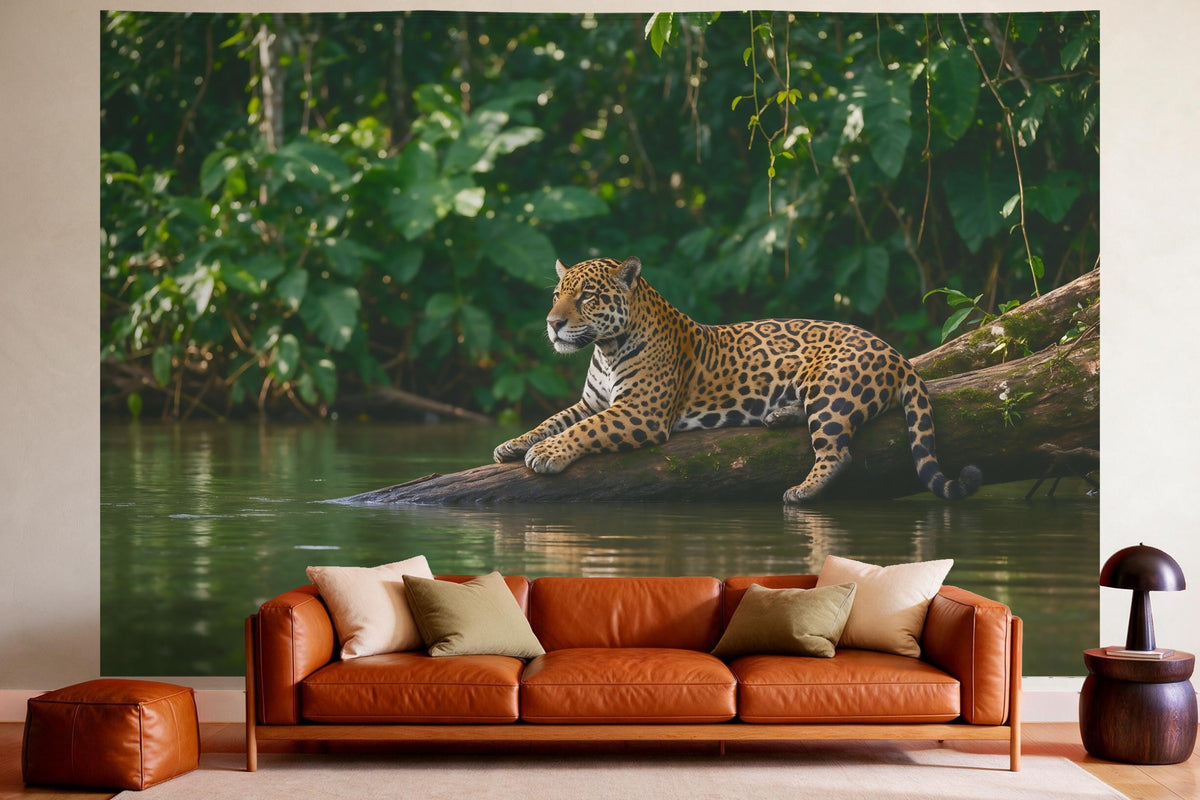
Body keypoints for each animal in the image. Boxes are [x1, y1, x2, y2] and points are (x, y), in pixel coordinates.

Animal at [493, 256, 981, 503]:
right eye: (557, 295)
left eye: (588, 297)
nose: (553, 324)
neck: (606, 348)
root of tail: (896, 353)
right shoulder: (593, 401)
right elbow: (553, 420)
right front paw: (513, 443)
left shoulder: (639, 412)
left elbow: (583, 430)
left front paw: (545, 454)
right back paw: (778, 415)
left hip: (830, 389)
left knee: (837, 452)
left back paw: (801, 491)